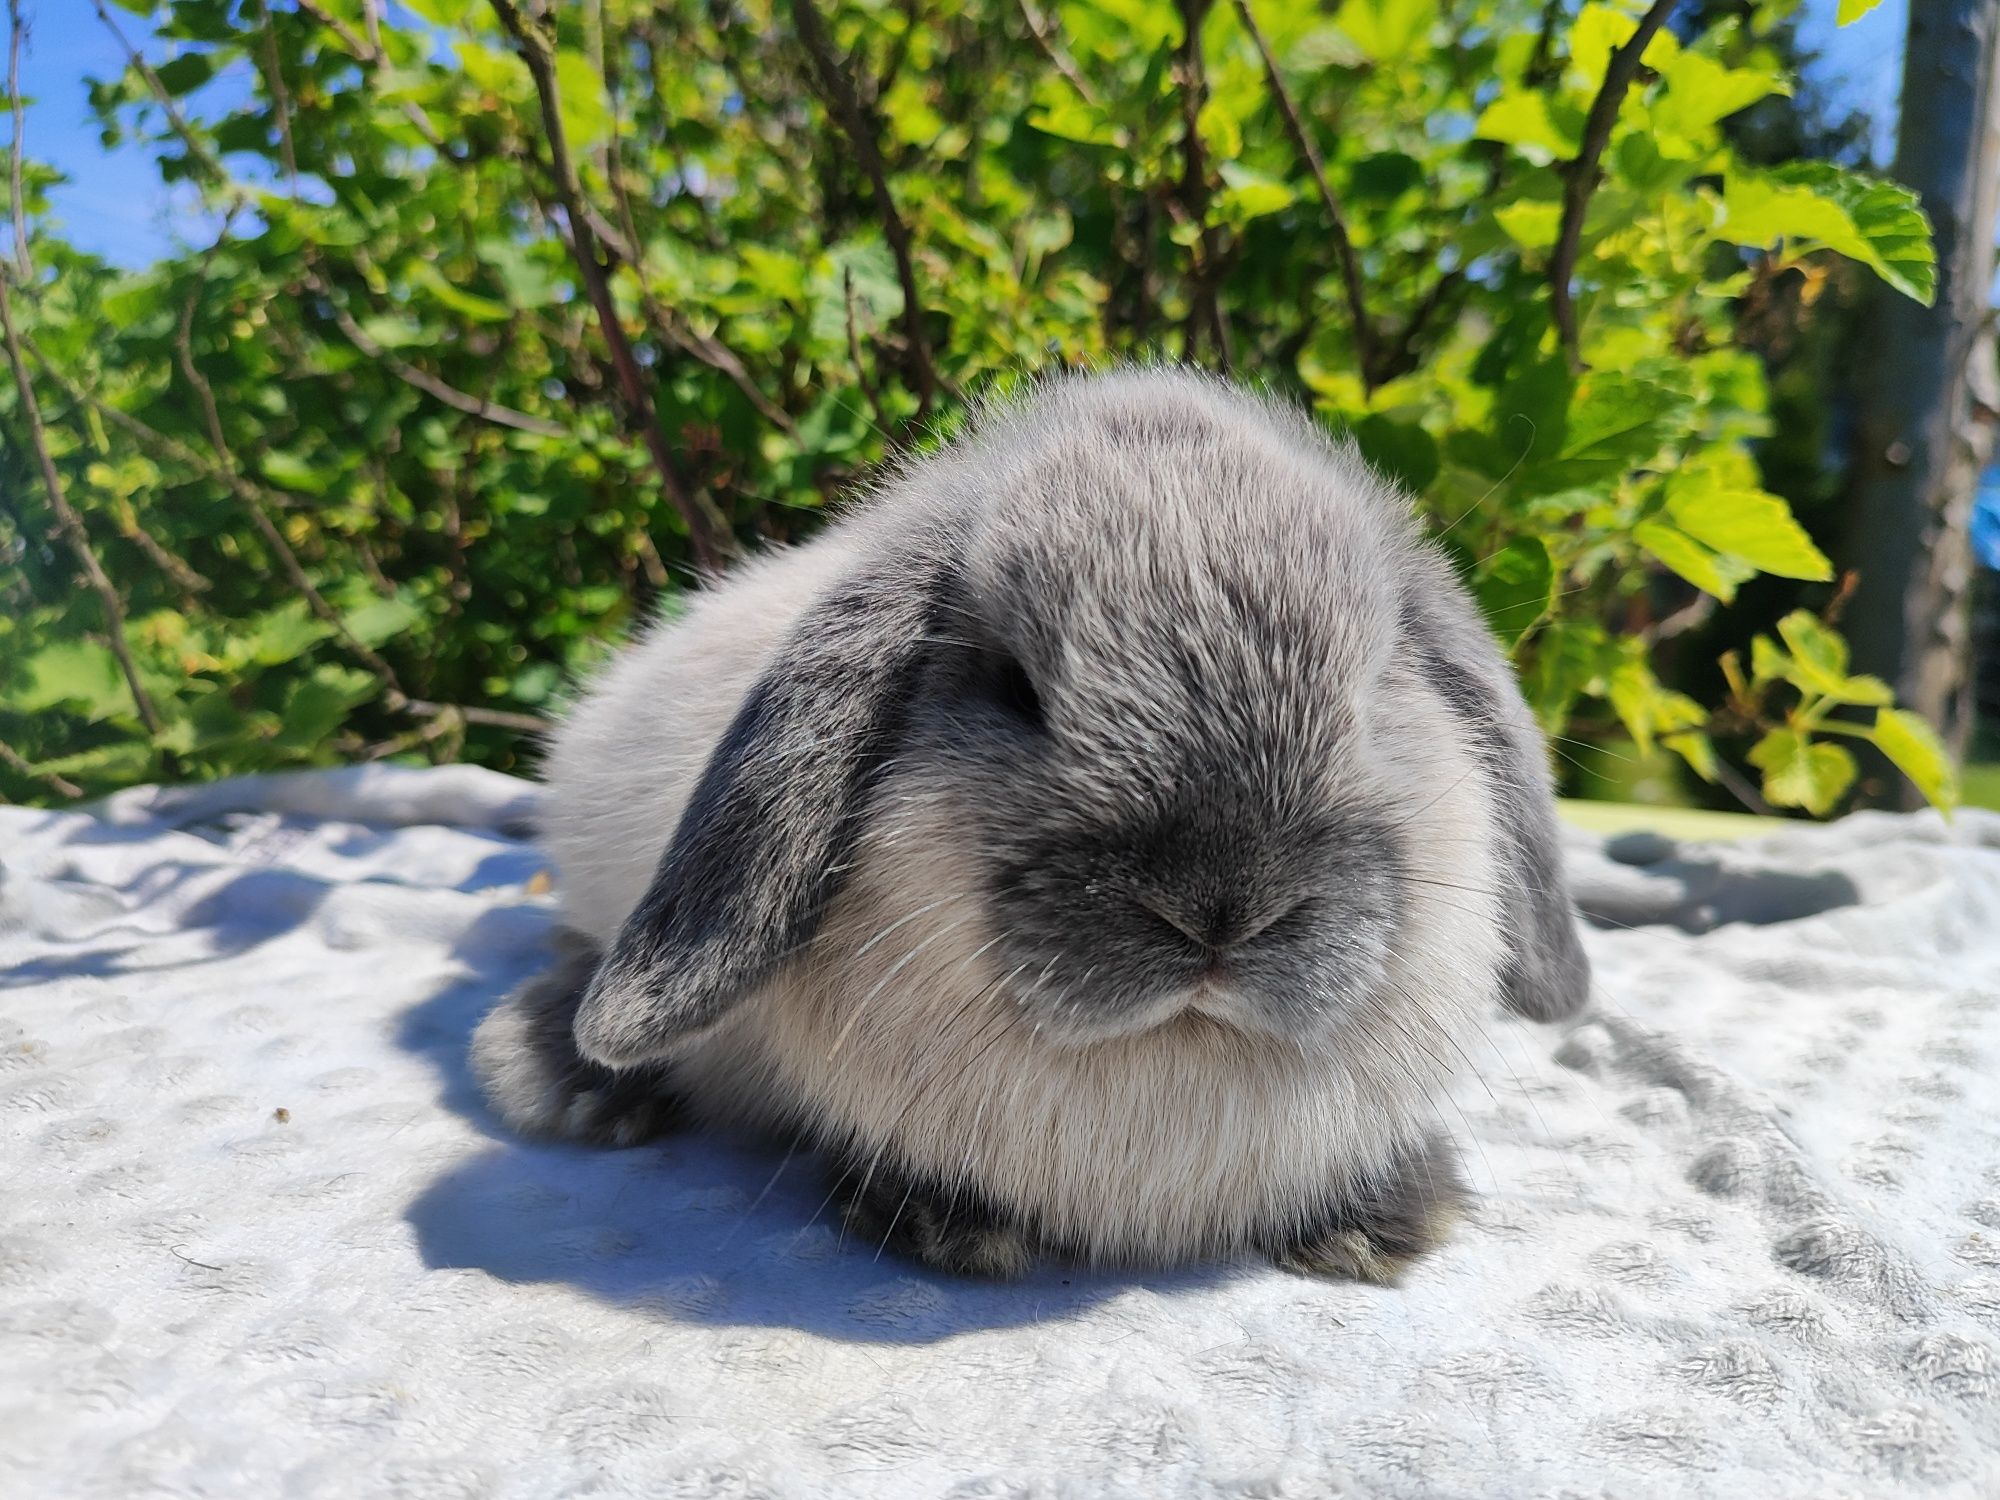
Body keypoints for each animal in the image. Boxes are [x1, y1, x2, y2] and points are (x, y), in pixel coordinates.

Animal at [472, 370, 1592, 1288]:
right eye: (1014, 687)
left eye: (1373, 687)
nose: (1219, 911)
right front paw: (948, 1226)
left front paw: (1387, 1222)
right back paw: (564, 1078)